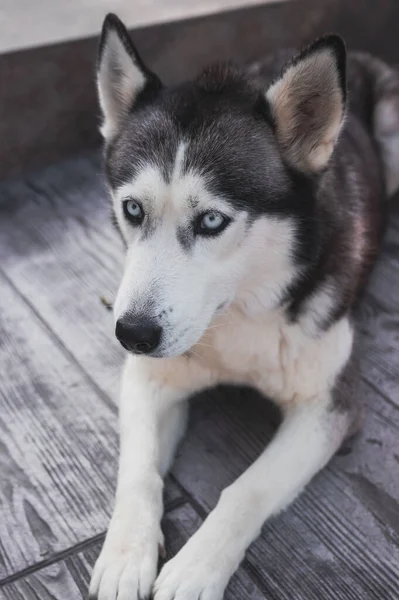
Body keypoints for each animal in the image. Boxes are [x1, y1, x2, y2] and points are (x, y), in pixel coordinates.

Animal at [88, 12, 399, 600]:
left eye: (212, 220)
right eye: (133, 209)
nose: (132, 333)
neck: (238, 316)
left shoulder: (330, 406)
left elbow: (246, 490)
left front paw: (195, 568)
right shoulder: (148, 378)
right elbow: (137, 471)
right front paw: (125, 555)